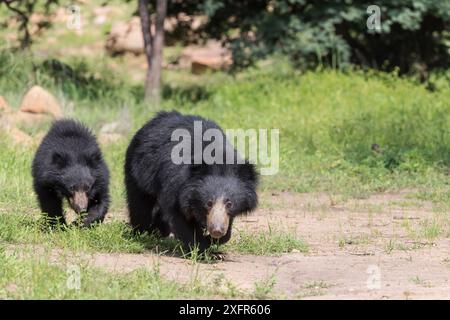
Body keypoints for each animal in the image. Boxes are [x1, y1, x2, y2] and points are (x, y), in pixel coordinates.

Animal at [125, 111, 258, 251]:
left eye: (229, 204)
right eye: (209, 203)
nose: (216, 230)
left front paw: (215, 240)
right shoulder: (175, 182)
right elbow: (179, 216)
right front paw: (203, 248)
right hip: (137, 171)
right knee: (139, 206)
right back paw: (143, 233)